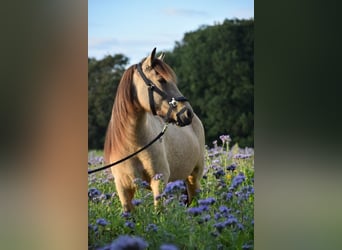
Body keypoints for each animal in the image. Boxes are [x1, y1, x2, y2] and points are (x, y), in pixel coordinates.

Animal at [104, 47, 204, 212]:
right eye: (161, 80)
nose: (187, 113)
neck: (133, 145)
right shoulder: (123, 188)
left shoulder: (159, 180)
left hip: (193, 176)